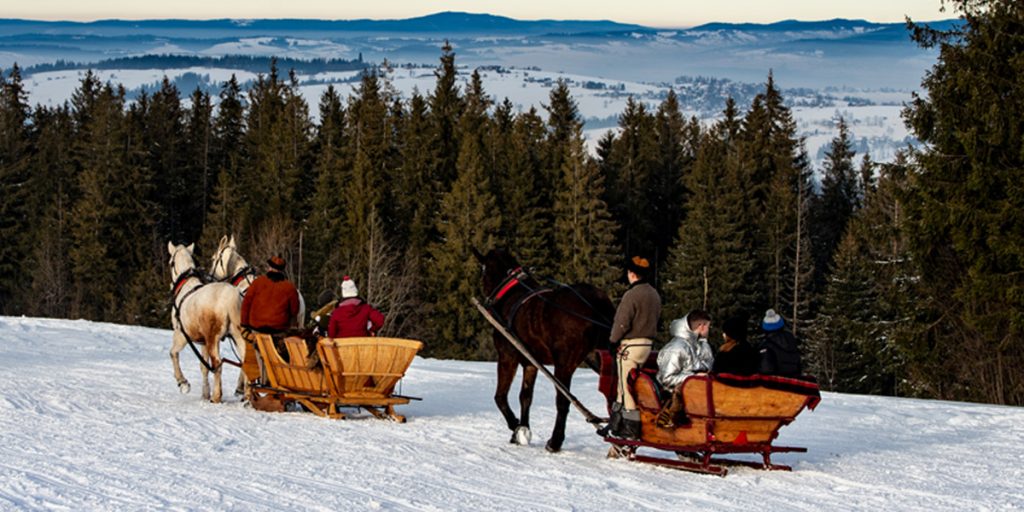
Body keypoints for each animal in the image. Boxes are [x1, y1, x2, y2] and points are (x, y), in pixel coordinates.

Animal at [168, 241, 248, 401]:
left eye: (170, 263)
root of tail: (232, 295)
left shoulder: (181, 335)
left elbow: (173, 353)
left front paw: (183, 383)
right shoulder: (203, 341)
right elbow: (204, 367)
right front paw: (205, 393)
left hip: (213, 339)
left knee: (217, 363)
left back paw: (217, 396)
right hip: (237, 336)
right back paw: (248, 397)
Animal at [473, 247, 614, 452]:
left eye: (483, 270)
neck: (511, 292)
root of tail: (598, 305)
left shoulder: (507, 355)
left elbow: (500, 397)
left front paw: (515, 426)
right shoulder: (530, 363)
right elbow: (525, 397)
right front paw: (522, 430)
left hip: (565, 363)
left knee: (563, 402)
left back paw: (555, 442)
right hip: (601, 357)